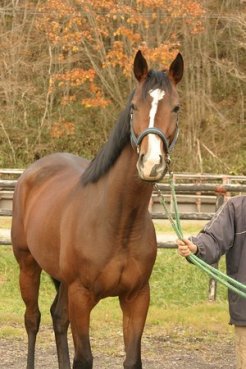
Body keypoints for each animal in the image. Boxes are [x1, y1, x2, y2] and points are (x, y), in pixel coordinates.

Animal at [11, 49, 183, 368]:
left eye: (176, 108)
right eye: (133, 107)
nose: (151, 164)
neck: (117, 224)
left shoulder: (137, 298)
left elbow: (132, 359)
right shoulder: (81, 295)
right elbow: (84, 358)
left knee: (58, 317)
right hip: (28, 265)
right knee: (33, 319)